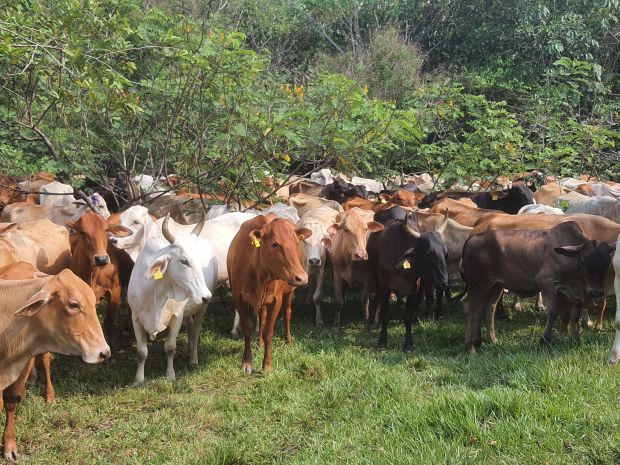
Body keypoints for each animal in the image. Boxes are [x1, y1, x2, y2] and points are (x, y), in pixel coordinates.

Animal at [127, 216, 214, 382]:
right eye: (184, 261)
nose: (206, 296)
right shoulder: (135, 318)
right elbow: (142, 352)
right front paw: (138, 379)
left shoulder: (176, 316)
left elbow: (170, 347)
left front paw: (170, 375)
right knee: (190, 327)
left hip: (201, 308)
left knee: (196, 330)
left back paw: (193, 359)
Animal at [225, 215, 310, 374]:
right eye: (274, 244)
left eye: (296, 242)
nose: (302, 277)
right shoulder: (238, 298)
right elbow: (247, 328)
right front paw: (247, 362)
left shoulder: (276, 300)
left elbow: (269, 332)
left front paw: (267, 365)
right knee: (262, 317)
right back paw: (260, 343)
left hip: (289, 292)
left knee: (287, 313)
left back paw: (288, 340)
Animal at [366, 211, 448, 352]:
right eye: (429, 254)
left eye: (445, 253)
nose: (444, 282)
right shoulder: (385, 287)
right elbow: (386, 315)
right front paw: (382, 342)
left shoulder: (413, 289)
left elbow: (407, 317)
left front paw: (408, 344)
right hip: (375, 275)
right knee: (377, 298)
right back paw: (375, 323)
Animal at [460, 221, 616, 352]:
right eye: (583, 262)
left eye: (607, 262)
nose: (596, 292)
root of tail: (471, 240)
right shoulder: (546, 283)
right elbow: (553, 311)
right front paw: (545, 340)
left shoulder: (574, 293)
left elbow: (574, 315)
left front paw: (576, 338)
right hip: (478, 284)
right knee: (469, 309)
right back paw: (470, 347)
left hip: (495, 286)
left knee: (487, 309)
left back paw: (489, 340)